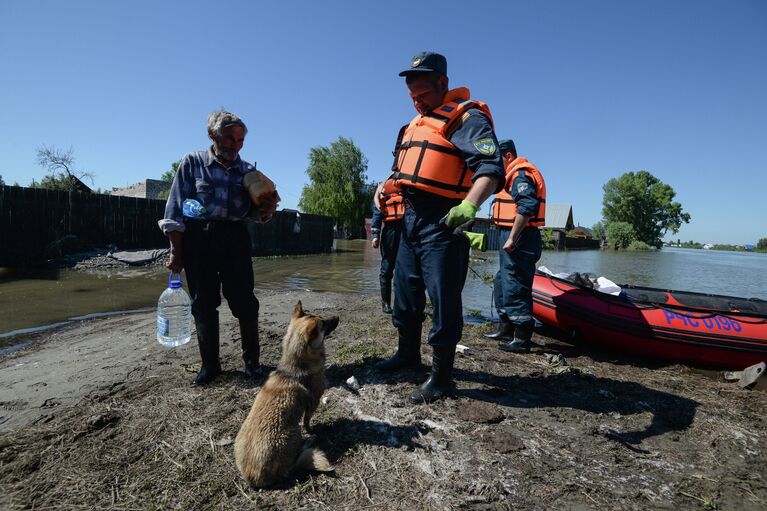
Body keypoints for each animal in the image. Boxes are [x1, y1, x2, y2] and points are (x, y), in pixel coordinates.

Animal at [234, 302, 340, 490]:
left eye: (321, 317)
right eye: (323, 323)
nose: (338, 317)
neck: (293, 369)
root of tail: (253, 479)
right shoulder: (313, 403)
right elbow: (307, 421)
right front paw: (311, 431)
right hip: (293, 431)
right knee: (297, 457)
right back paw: (309, 440)